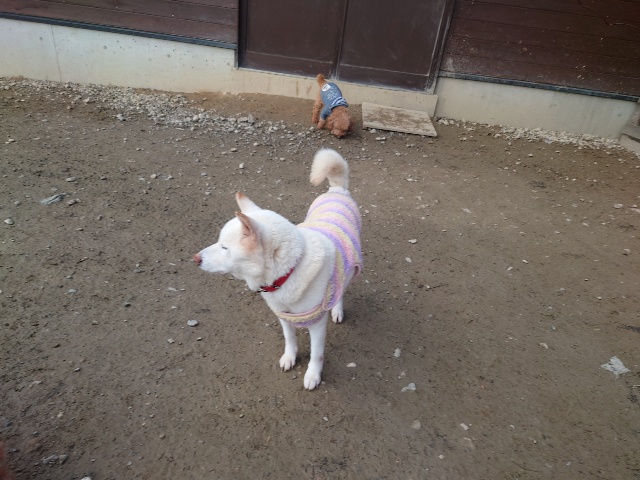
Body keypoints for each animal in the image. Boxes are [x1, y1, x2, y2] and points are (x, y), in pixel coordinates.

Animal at [194, 149, 362, 390]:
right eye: (218, 242)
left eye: (224, 247)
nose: (195, 258)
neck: (288, 272)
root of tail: (337, 190)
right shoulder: (283, 315)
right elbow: (289, 340)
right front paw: (289, 358)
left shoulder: (316, 324)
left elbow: (317, 354)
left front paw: (313, 375)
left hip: (348, 267)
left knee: (341, 289)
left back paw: (337, 310)